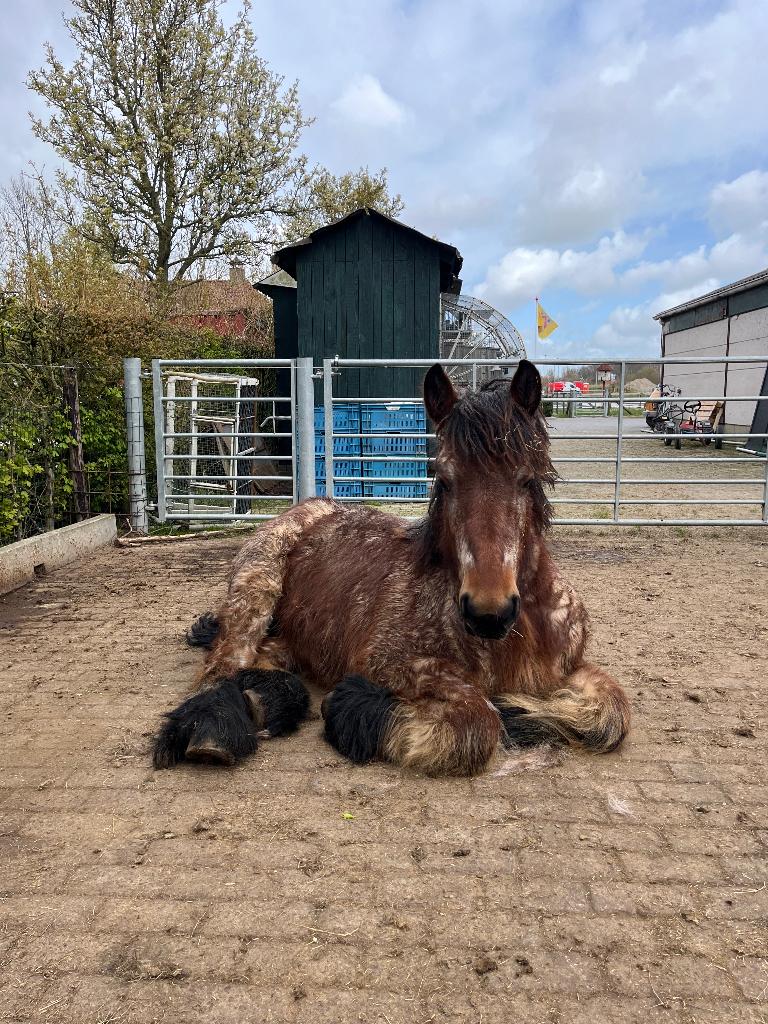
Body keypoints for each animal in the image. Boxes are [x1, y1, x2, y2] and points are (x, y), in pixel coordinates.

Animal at [153, 360, 630, 776]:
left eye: (527, 479)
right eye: (443, 479)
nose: (488, 612)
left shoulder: (569, 666)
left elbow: (613, 713)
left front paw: (521, 710)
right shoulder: (398, 665)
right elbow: (478, 723)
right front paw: (354, 705)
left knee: (267, 662)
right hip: (253, 593)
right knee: (222, 668)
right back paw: (216, 730)